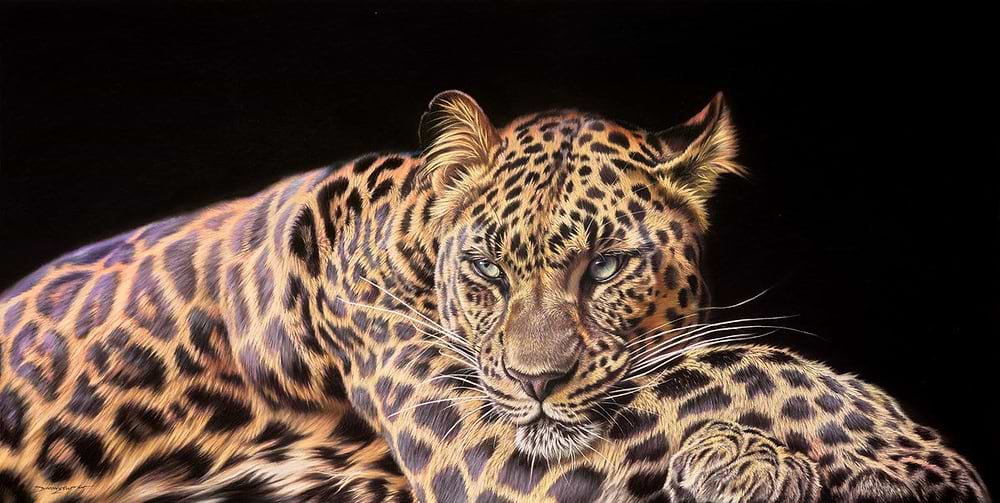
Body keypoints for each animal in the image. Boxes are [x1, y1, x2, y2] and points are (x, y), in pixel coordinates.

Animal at [0, 90, 989, 502]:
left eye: (606, 266)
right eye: (484, 268)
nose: (536, 382)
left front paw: (748, 460)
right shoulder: (473, 427)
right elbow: (715, 369)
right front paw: (912, 457)